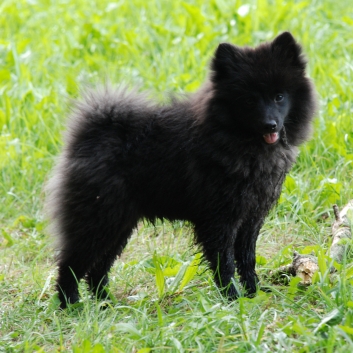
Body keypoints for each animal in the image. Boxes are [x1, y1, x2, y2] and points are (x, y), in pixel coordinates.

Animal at [46, 31, 316, 306]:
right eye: (249, 100)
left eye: (279, 96)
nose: (270, 125)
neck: (235, 140)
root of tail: (90, 132)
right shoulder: (220, 219)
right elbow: (225, 263)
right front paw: (232, 298)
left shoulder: (251, 217)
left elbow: (247, 259)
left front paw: (253, 293)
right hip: (98, 218)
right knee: (71, 264)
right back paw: (71, 305)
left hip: (118, 223)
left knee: (98, 268)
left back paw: (106, 303)